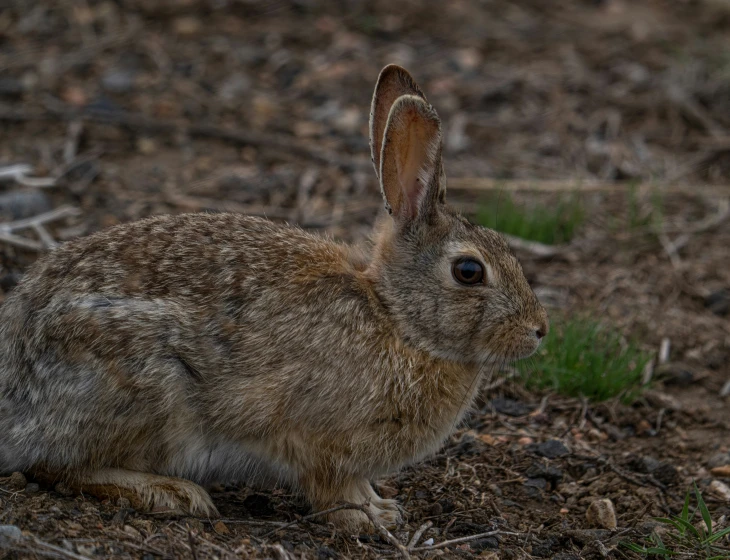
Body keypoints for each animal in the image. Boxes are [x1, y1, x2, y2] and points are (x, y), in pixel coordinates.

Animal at [0, 63, 544, 532]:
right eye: (469, 272)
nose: (539, 331)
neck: (394, 316)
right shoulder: (319, 443)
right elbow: (333, 488)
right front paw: (368, 519)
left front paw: (382, 507)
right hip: (148, 388)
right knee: (56, 467)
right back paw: (174, 493)